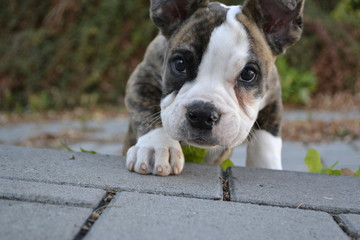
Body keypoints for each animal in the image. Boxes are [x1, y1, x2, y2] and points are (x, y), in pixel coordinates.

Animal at [123, 0, 304, 176]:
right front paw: (157, 147)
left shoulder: (273, 96)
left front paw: (266, 165)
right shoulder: (142, 78)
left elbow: (267, 140)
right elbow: (147, 112)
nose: (203, 114)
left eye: (248, 74)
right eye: (179, 64)